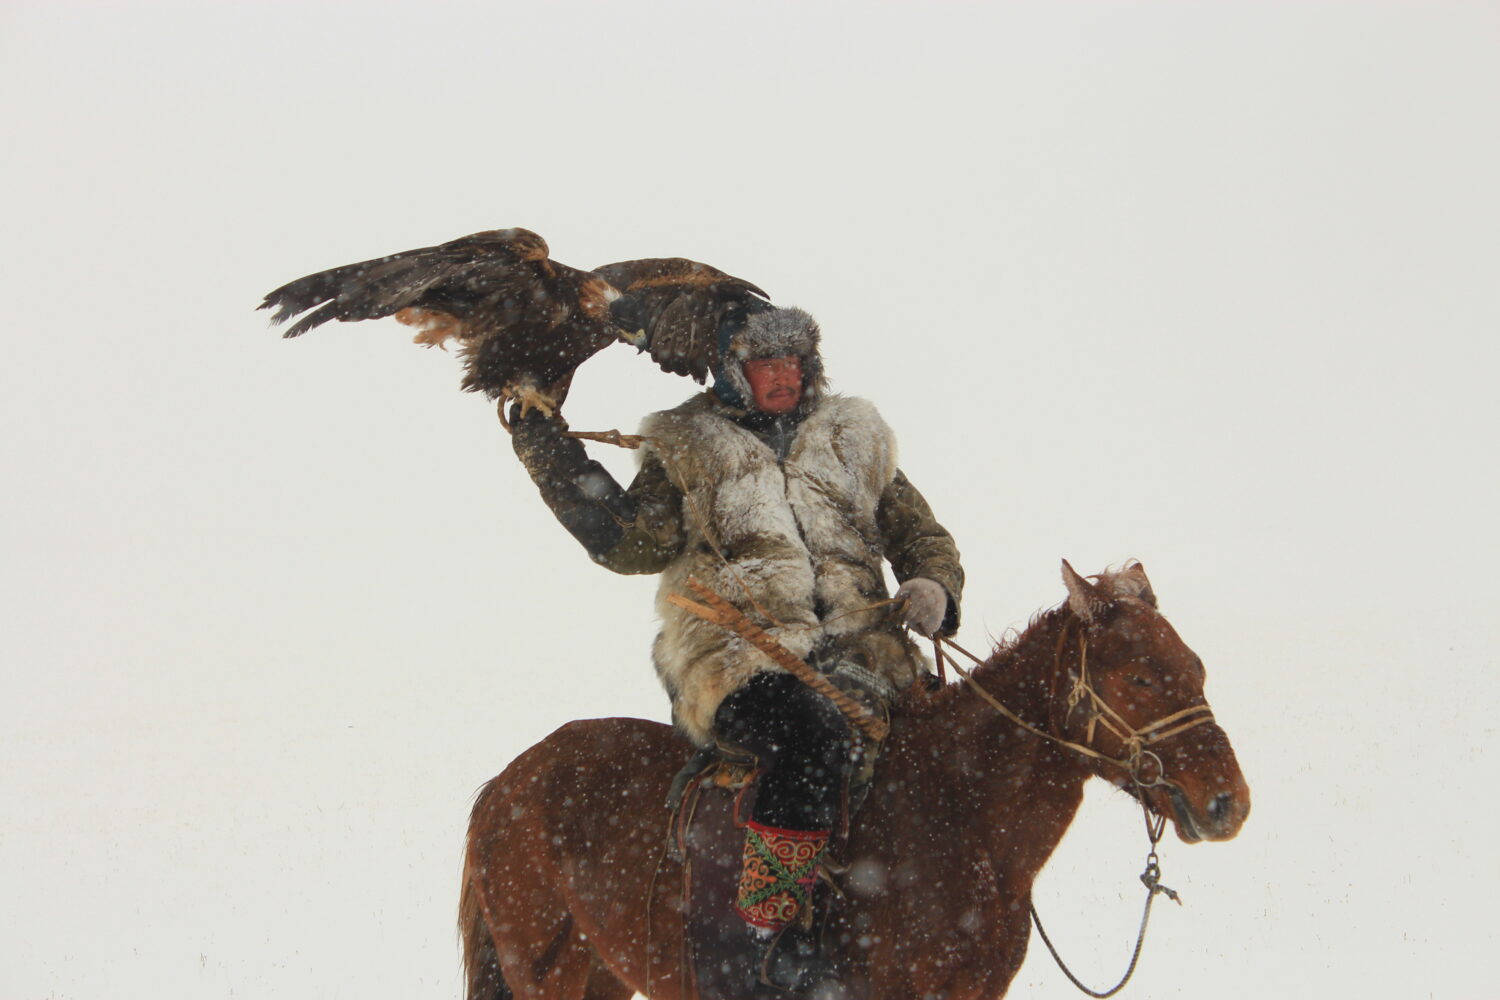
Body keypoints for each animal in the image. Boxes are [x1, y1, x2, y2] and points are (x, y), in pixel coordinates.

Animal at [459, 563, 1254, 1000]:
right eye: (1141, 676)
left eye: (1195, 667)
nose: (1227, 803)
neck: (960, 818)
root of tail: (507, 784)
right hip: (546, 972)